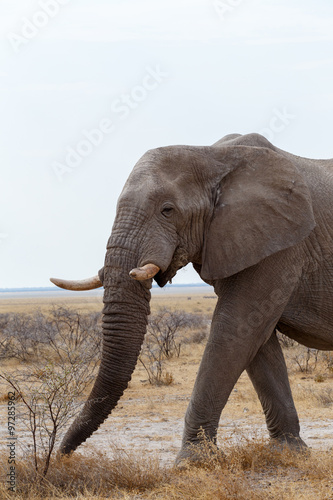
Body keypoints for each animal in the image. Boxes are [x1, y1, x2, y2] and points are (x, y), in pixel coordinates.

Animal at [51, 131, 332, 462]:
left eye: (167, 210)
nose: (61, 455)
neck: (212, 155)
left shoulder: (281, 243)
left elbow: (235, 329)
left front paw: (191, 462)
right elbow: (257, 339)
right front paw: (288, 452)